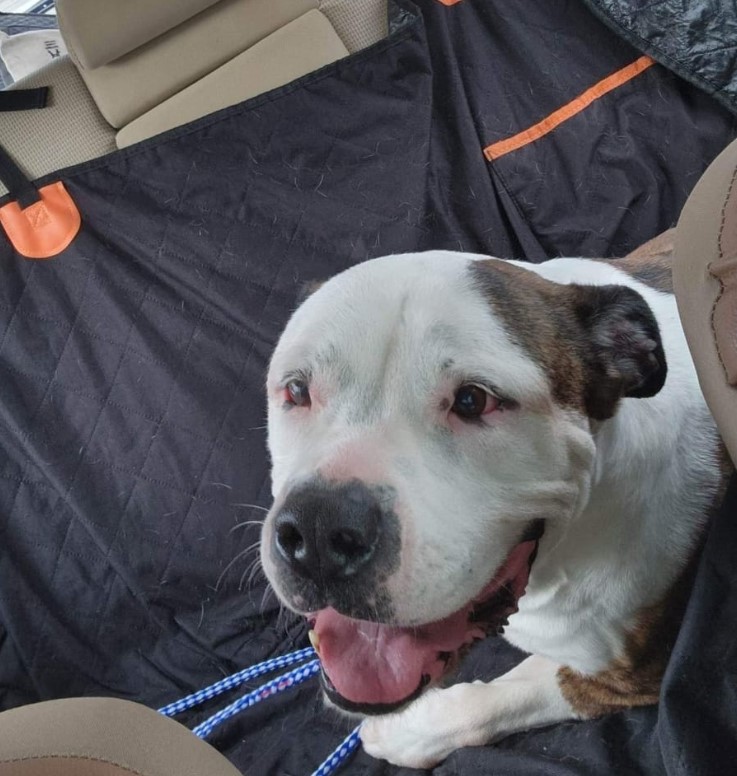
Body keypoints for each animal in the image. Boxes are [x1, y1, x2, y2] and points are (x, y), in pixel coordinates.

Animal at [258, 242, 724, 768]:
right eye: (297, 390)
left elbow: (508, 694)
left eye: (473, 401)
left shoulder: (629, 672)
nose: (319, 529)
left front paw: (405, 732)